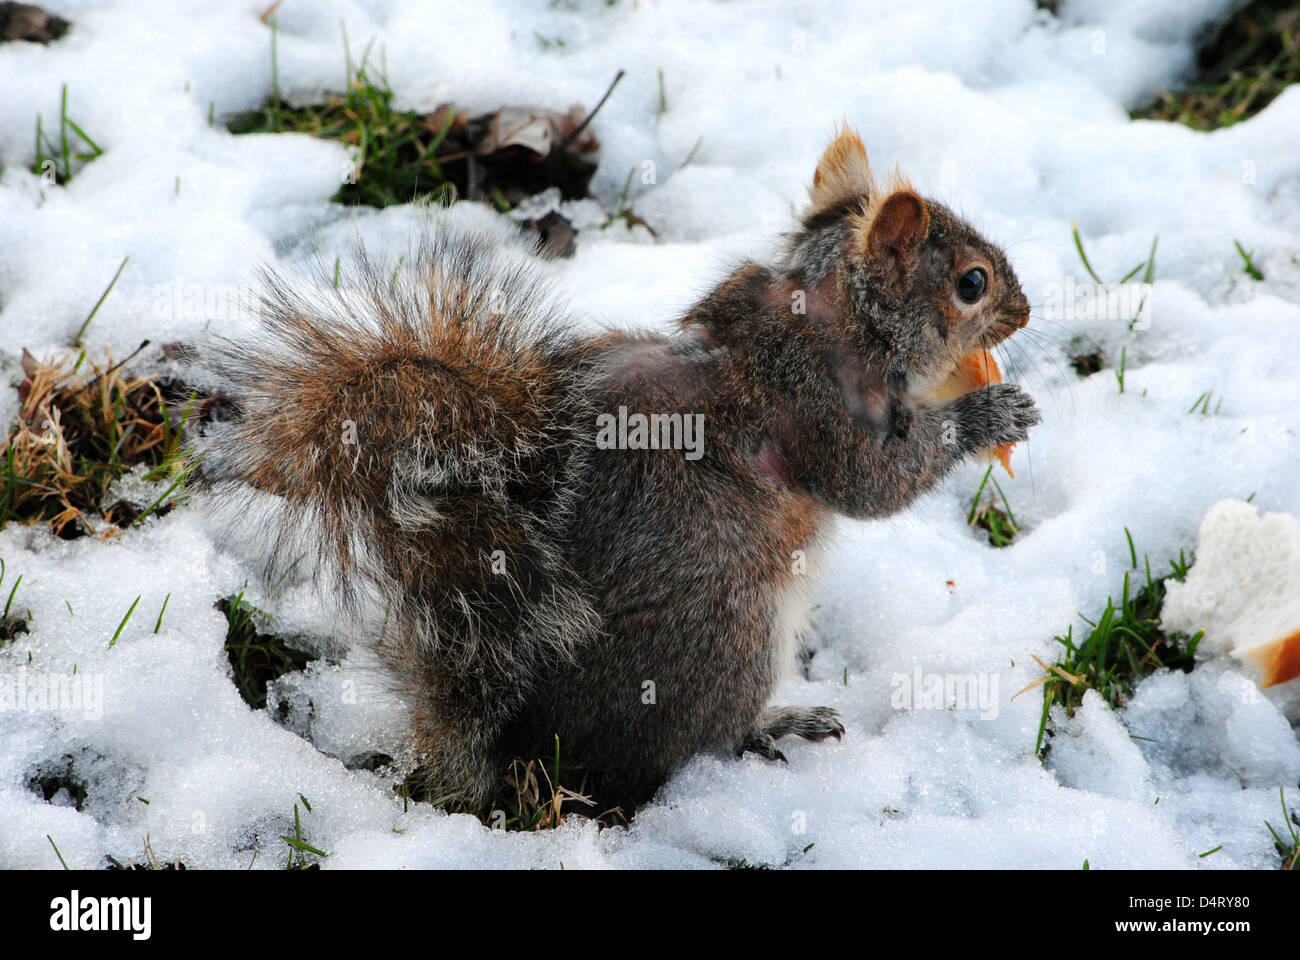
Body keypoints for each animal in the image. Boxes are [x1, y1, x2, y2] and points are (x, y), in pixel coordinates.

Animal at [197, 127, 1040, 811]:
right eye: (971, 282)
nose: (1025, 312)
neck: (828, 306)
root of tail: (524, 753)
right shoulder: (816, 407)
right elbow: (872, 484)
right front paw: (987, 415)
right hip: (732, 633)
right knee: (701, 739)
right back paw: (774, 723)